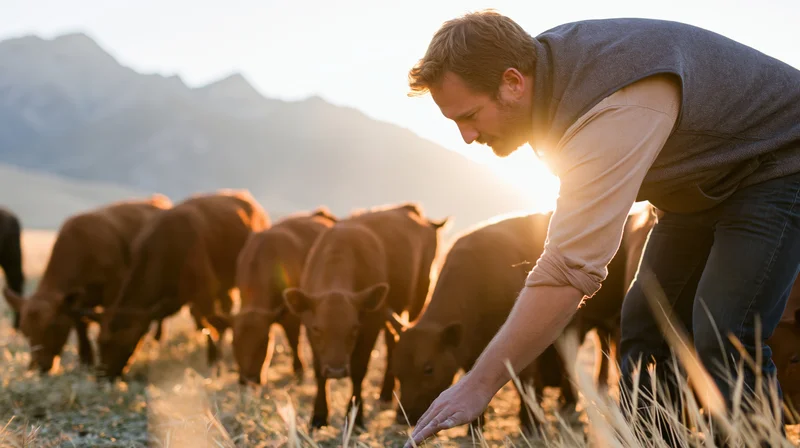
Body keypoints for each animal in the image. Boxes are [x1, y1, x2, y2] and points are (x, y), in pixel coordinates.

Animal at [2, 195, 172, 373]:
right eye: (25, 331)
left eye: (52, 326)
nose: (39, 367)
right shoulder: (79, 302)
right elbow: (80, 325)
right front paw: (86, 360)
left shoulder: (114, 287)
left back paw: (158, 339)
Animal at [94, 190, 269, 380]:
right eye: (100, 343)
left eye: (120, 343)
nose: (103, 375)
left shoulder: (204, 292)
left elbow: (209, 326)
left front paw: (214, 361)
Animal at [232, 207, 337, 386]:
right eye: (234, 344)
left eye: (263, 343)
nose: (247, 380)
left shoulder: (291, 315)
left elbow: (293, 341)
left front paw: (299, 371)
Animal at [282, 203, 449, 430]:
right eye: (318, 329)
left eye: (354, 328)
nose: (336, 371)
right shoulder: (309, 331)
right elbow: (318, 371)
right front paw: (319, 416)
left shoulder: (370, 325)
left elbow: (359, 370)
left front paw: (356, 417)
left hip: (418, 298)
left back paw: (385, 393)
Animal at [388, 205, 657, 435]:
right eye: (397, 370)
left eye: (428, 369)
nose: (403, 417)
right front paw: (475, 428)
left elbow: (524, 382)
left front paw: (530, 424)